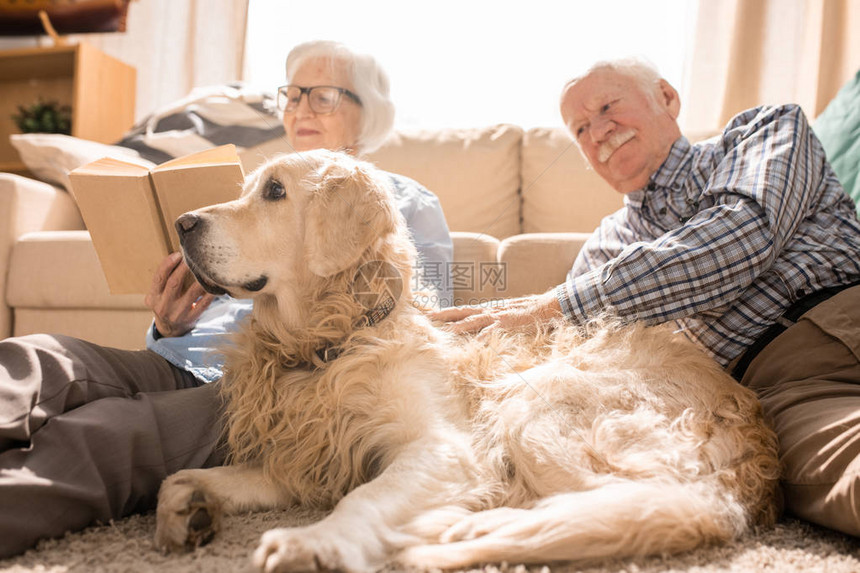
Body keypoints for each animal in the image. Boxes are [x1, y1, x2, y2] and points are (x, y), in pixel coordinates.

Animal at [153, 150, 780, 568]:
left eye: (276, 192)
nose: (183, 224)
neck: (331, 342)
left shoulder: (443, 447)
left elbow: (365, 497)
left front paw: (314, 541)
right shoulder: (306, 461)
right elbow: (180, 478)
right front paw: (188, 509)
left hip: (536, 401)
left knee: (648, 504)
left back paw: (462, 529)